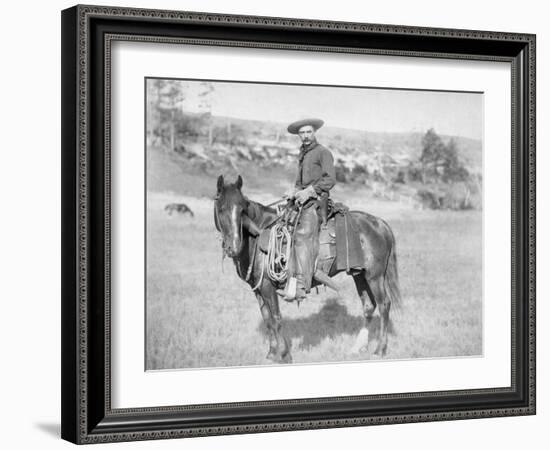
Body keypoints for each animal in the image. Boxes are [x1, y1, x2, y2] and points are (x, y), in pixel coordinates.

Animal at [215, 174, 402, 364]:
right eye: (221, 209)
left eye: (242, 210)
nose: (233, 247)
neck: (258, 236)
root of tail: (380, 224)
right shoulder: (258, 289)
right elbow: (267, 319)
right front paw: (271, 353)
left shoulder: (268, 286)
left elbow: (276, 319)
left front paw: (284, 355)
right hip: (359, 275)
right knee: (369, 306)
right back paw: (358, 347)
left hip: (375, 276)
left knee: (384, 305)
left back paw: (380, 349)